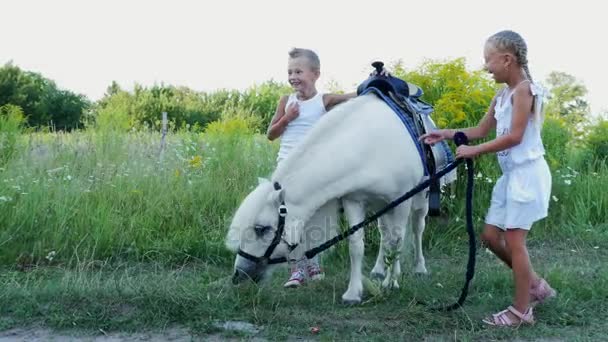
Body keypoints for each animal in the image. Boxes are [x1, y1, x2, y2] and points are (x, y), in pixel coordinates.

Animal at [226, 93, 430, 304]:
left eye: (261, 229)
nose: (238, 275)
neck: (370, 148)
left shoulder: (402, 199)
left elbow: (397, 241)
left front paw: (391, 283)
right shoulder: (354, 201)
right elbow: (356, 245)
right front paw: (353, 293)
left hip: (419, 200)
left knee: (416, 229)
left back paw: (419, 268)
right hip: (381, 205)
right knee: (385, 234)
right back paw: (379, 270)